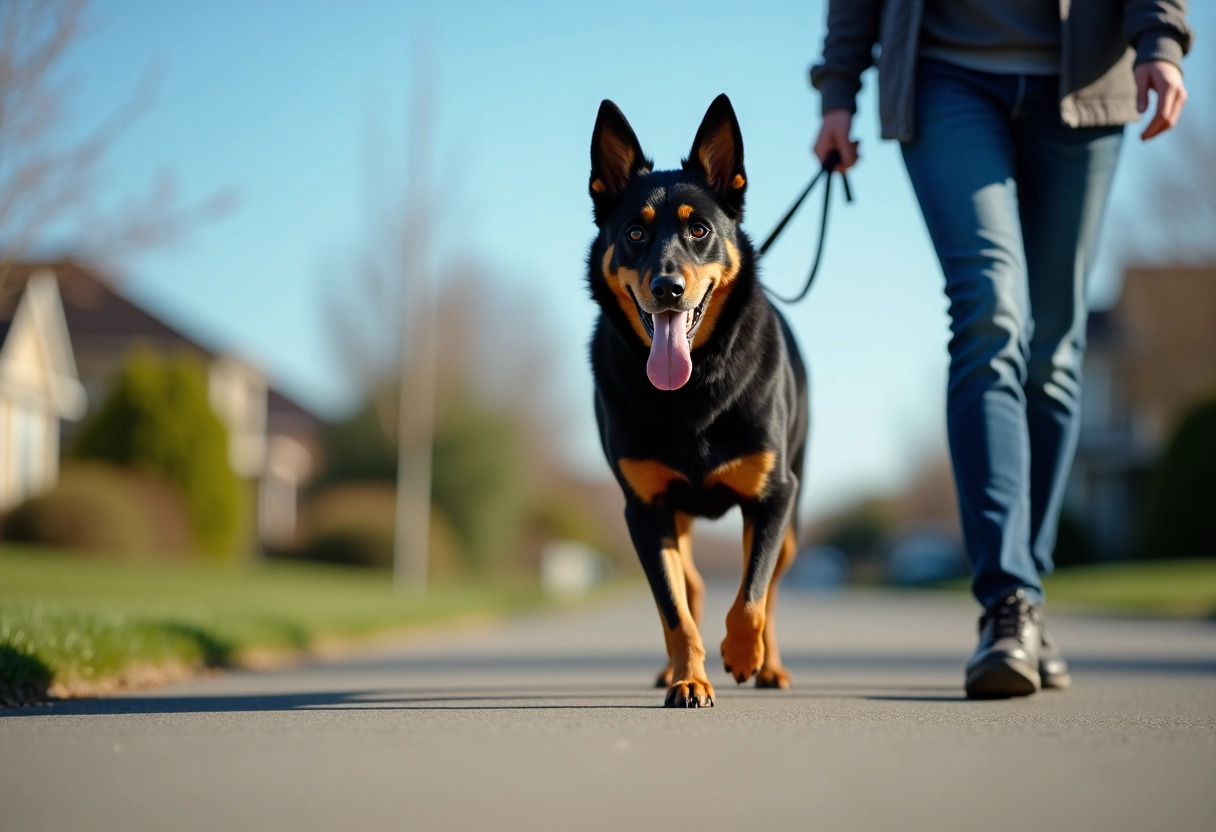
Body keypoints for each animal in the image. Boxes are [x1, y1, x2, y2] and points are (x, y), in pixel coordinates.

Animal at [586, 96, 807, 710]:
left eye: (700, 229)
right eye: (636, 231)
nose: (667, 288)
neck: (693, 388)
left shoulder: (774, 496)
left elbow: (752, 596)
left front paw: (743, 655)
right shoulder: (644, 508)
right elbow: (674, 609)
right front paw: (689, 677)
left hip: (791, 520)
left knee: (768, 589)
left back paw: (770, 666)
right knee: (693, 585)